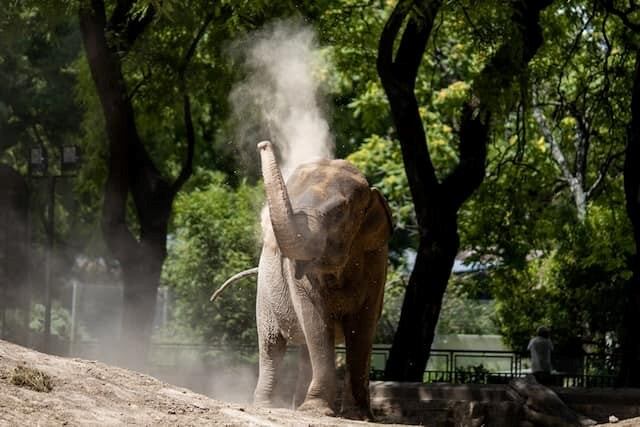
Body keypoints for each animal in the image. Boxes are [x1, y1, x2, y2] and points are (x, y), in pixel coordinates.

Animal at [254, 141, 392, 422]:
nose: (263, 144)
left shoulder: (377, 260)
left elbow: (363, 327)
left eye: (339, 212)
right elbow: (317, 323)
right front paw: (318, 411)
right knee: (272, 345)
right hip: (264, 292)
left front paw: (359, 416)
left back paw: (296, 406)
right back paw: (263, 406)